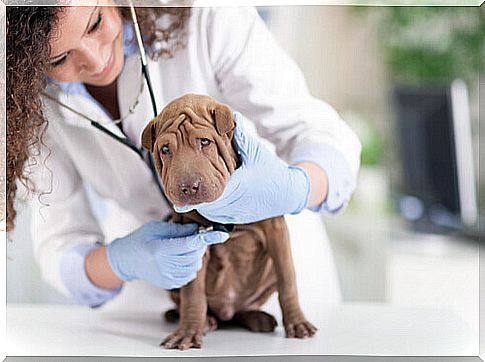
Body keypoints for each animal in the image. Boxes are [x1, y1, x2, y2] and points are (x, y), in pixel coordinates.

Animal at [140, 94, 316, 350]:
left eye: (204, 142)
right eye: (165, 149)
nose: (188, 187)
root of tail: (227, 312)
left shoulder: (276, 230)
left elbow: (288, 279)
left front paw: (297, 322)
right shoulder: (191, 243)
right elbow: (193, 293)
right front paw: (189, 330)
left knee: (247, 306)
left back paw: (256, 317)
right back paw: (203, 320)